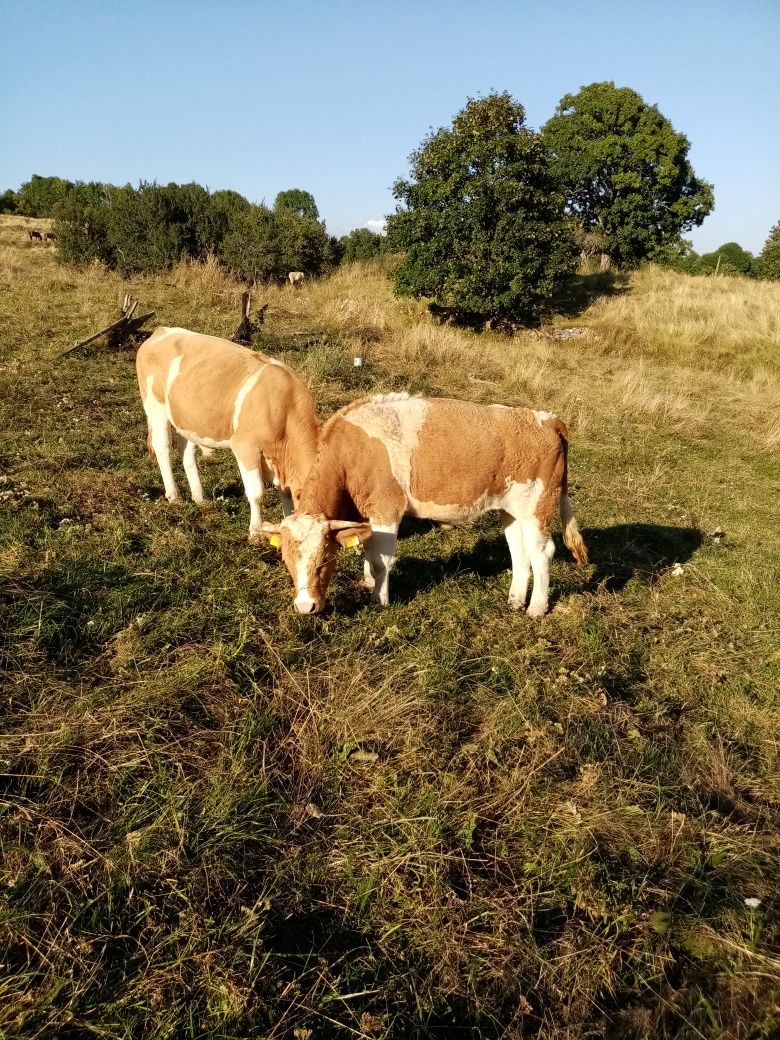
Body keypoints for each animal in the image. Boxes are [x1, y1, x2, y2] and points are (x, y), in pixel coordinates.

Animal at [136, 326, 318, 540]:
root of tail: (161, 330)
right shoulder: (245, 447)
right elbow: (257, 493)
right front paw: (255, 531)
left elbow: (286, 492)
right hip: (155, 407)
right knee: (162, 448)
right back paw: (174, 496)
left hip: (187, 418)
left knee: (186, 452)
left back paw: (200, 497)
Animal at [260, 393, 590, 611]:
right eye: (286, 561)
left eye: (325, 560)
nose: (306, 607)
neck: (352, 451)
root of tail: (544, 418)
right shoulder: (367, 515)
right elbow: (369, 552)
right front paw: (367, 583)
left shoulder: (387, 509)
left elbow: (381, 562)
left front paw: (379, 600)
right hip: (511, 510)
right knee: (519, 552)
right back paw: (515, 600)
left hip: (538, 507)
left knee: (542, 552)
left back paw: (536, 608)